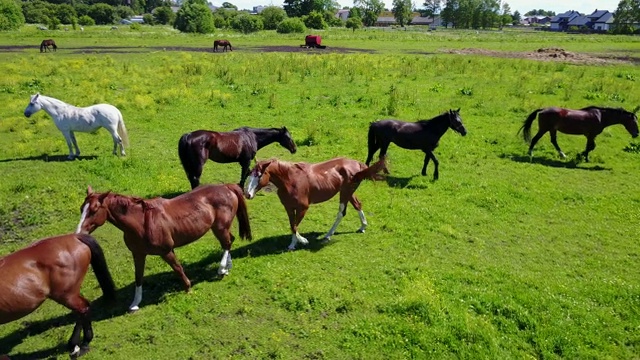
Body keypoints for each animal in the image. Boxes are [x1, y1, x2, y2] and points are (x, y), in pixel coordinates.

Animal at [76, 184, 251, 310]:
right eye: (81, 209)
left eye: (94, 210)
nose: (78, 233)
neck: (142, 222)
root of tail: (226, 186)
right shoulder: (138, 254)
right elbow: (138, 276)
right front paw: (135, 303)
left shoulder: (166, 251)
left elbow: (178, 268)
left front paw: (188, 288)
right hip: (221, 228)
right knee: (229, 241)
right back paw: (227, 267)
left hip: (219, 227)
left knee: (227, 243)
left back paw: (221, 269)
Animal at [244, 156, 384, 252]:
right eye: (250, 173)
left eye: (259, 175)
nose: (247, 194)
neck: (290, 180)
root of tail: (357, 164)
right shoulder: (289, 207)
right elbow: (292, 225)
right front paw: (293, 244)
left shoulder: (303, 208)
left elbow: (295, 226)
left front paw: (301, 241)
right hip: (348, 192)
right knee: (357, 205)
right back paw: (363, 226)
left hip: (345, 192)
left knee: (341, 213)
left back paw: (328, 235)